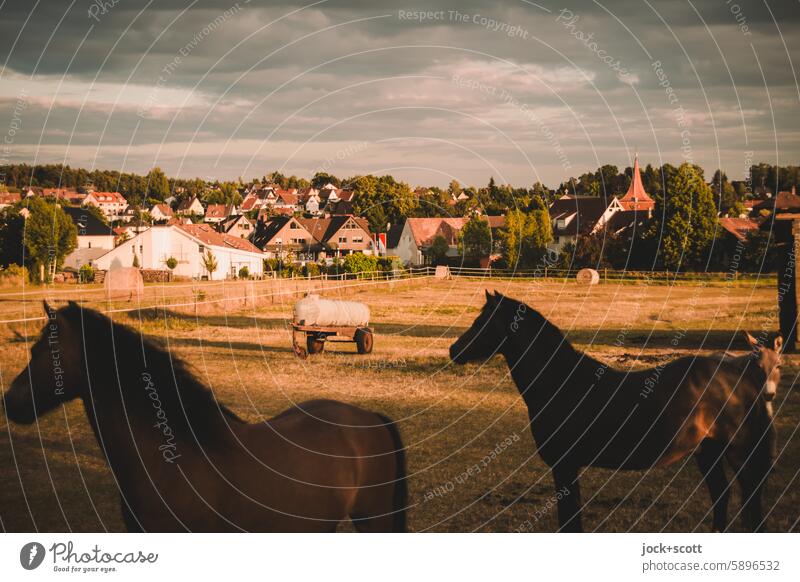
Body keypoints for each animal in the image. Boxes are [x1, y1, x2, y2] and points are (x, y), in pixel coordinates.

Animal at [454, 292, 780, 532]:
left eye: (483, 321)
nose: (454, 350)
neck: (563, 382)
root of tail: (746, 376)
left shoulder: (564, 465)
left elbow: (570, 522)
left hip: (739, 454)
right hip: (707, 451)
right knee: (721, 496)